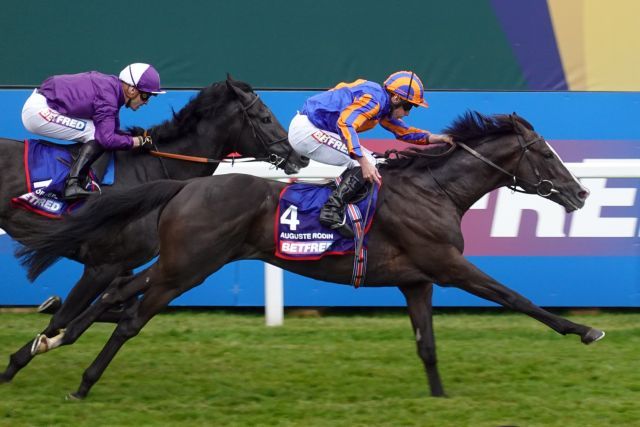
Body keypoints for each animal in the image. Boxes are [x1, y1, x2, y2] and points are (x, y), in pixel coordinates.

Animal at [0, 77, 308, 384]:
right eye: (265, 117)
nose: (301, 158)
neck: (148, 170)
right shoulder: (102, 266)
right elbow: (65, 318)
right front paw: (15, 364)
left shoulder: (122, 265)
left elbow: (114, 308)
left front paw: (48, 311)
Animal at [16, 112, 604, 400]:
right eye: (544, 152)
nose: (580, 193)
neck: (433, 190)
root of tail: (185, 186)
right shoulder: (448, 265)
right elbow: (516, 297)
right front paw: (585, 330)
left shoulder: (417, 279)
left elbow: (427, 345)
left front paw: (439, 399)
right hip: (187, 267)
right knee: (129, 318)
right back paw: (81, 382)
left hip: (185, 261)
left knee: (116, 290)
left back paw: (44, 342)